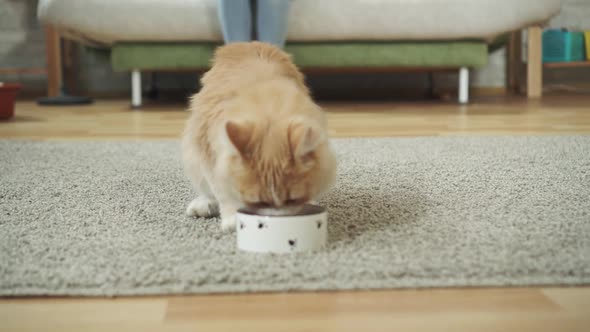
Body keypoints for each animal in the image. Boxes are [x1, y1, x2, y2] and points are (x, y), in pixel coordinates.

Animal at [180, 40, 338, 231]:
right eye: (259, 201)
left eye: (292, 199)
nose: (276, 221)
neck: (268, 107)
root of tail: (245, 42)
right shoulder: (208, 150)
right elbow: (223, 190)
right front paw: (232, 219)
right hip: (191, 154)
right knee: (206, 191)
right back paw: (203, 205)